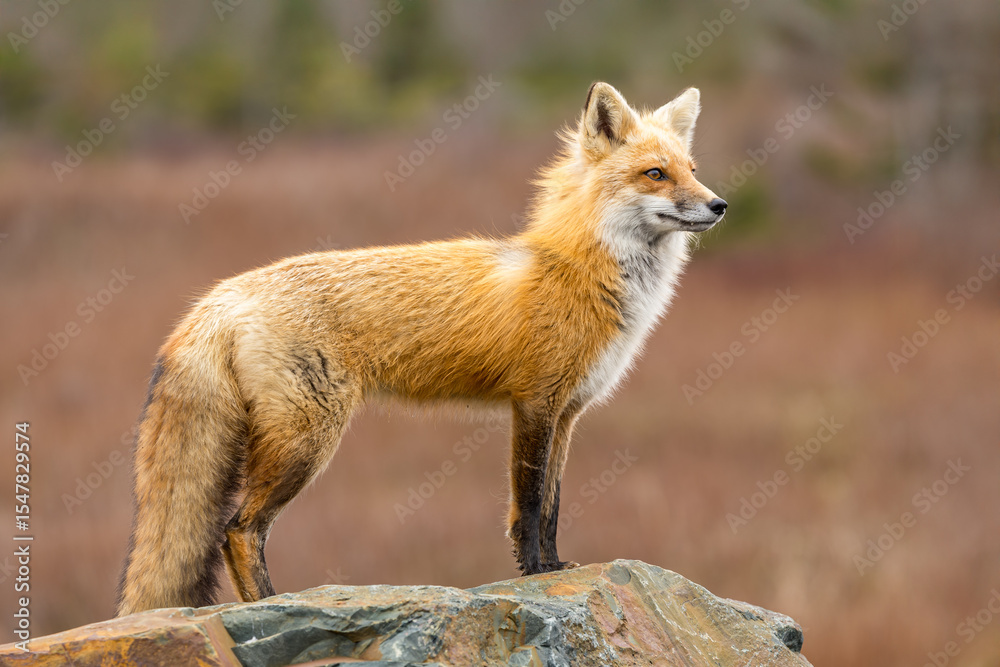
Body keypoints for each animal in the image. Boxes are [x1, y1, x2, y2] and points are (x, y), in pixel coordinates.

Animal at [116, 82, 727, 616]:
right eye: (655, 174)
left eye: (692, 171)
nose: (720, 204)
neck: (581, 272)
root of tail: (219, 297)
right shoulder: (533, 404)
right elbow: (529, 504)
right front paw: (533, 574)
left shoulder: (568, 412)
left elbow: (553, 505)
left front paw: (556, 567)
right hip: (305, 442)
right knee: (238, 531)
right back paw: (271, 606)